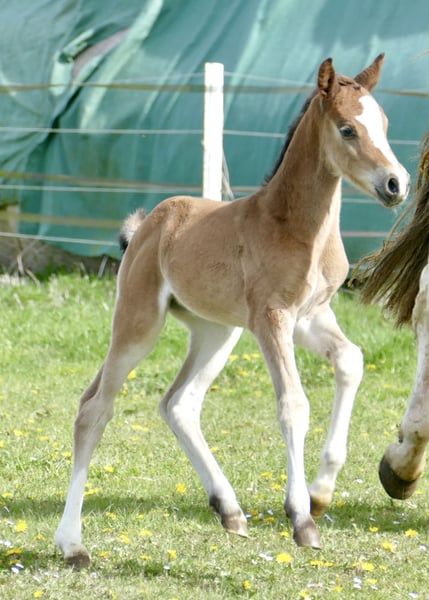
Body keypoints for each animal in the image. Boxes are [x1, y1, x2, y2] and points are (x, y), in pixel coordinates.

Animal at [55, 54, 410, 567]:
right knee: (95, 408)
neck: (293, 226)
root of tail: (149, 224)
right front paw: (302, 519)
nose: (396, 184)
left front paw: (321, 493)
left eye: (383, 123)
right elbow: (293, 405)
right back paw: (72, 544)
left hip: (217, 332)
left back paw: (230, 509)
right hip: (139, 324)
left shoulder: (311, 316)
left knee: (179, 403)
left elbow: (351, 360)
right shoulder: (272, 318)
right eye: (347, 129)